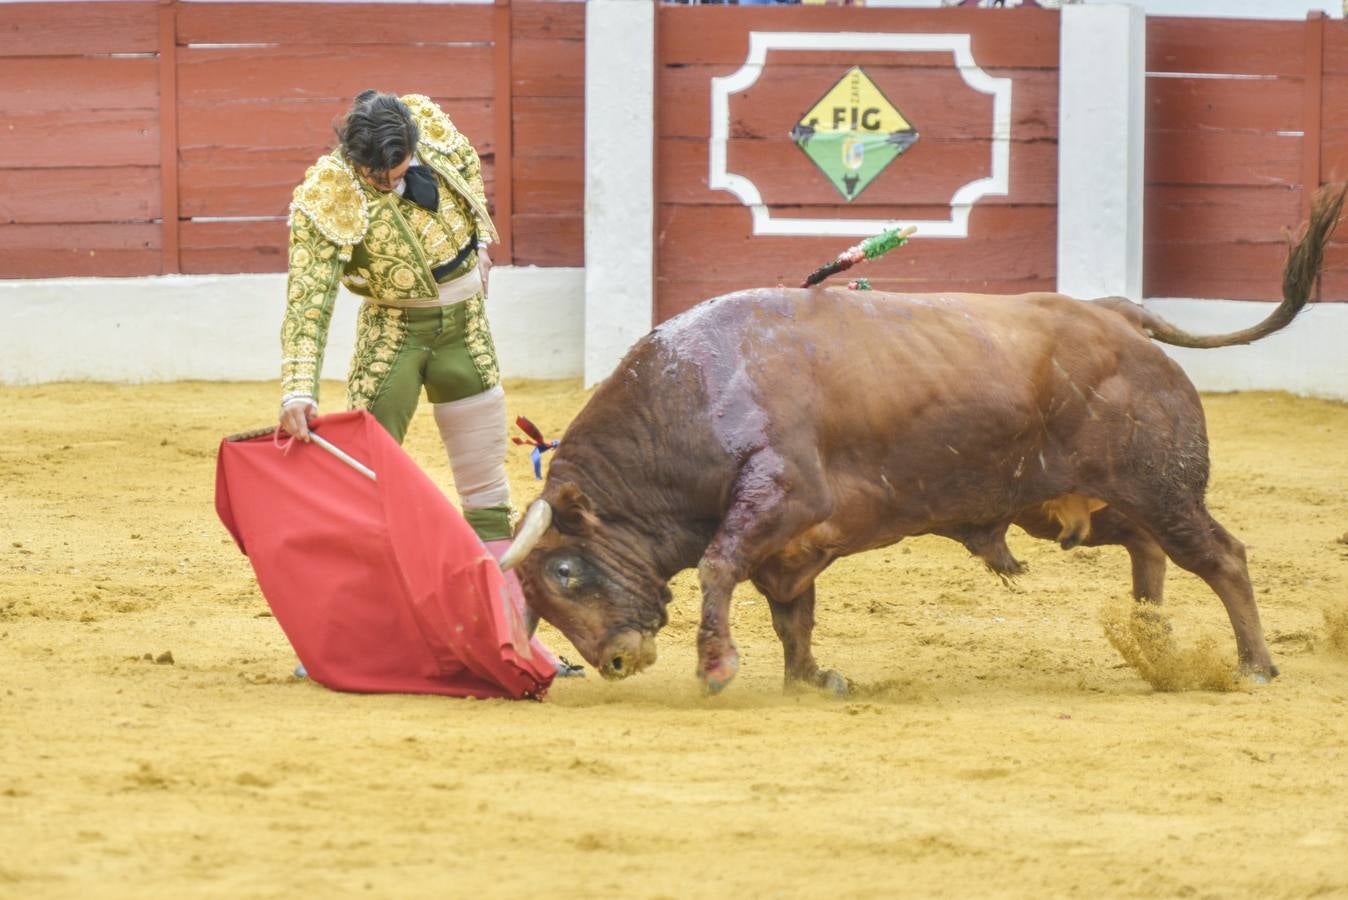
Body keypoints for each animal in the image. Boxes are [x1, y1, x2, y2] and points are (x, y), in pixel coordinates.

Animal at [501, 184, 1342, 695]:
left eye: (566, 572)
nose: (616, 661)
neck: (690, 400)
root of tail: (1114, 313)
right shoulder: (792, 544)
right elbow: (790, 609)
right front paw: (812, 679)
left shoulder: (781, 494)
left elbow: (718, 565)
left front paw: (716, 666)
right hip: (1071, 504)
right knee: (1148, 548)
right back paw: (1152, 641)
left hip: (1163, 484)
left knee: (1219, 555)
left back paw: (1254, 665)